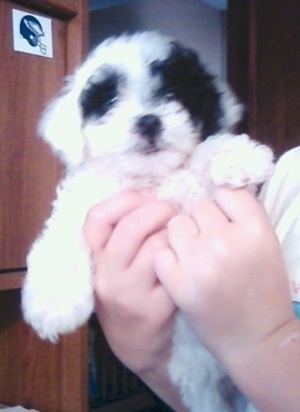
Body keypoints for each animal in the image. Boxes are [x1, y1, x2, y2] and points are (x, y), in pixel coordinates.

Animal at [21, 33, 274, 412]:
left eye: (172, 93)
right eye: (110, 100)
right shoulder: (85, 201)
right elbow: (63, 238)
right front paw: (54, 302)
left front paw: (236, 155)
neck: (149, 178)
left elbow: (208, 149)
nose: (148, 121)